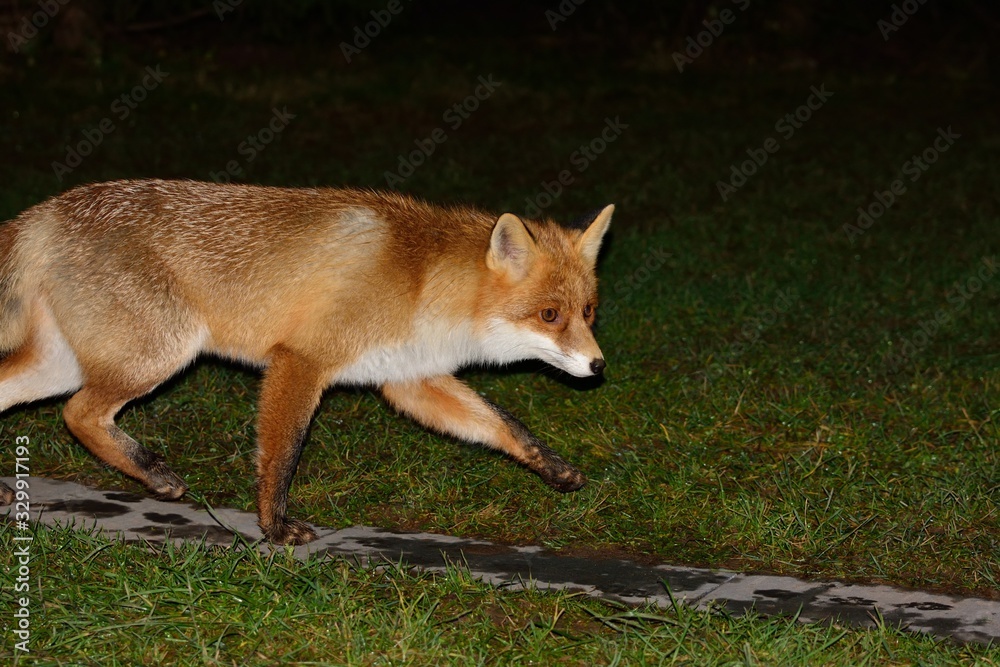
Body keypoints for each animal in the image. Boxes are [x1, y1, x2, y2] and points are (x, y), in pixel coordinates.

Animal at [0, 179, 613, 545]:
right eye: (550, 314)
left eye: (587, 311)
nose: (598, 368)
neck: (423, 286)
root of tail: (49, 209)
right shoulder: (302, 360)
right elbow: (283, 455)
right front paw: (274, 526)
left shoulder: (409, 379)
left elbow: (502, 426)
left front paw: (553, 468)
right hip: (158, 353)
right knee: (78, 414)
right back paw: (153, 473)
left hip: (64, 365)